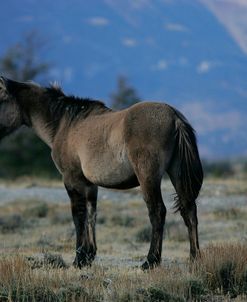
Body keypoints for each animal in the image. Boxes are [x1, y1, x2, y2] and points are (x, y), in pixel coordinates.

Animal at [0, 76, 203, 270]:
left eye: (1, 99)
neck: (65, 124)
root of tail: (174, 117)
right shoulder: (90, 185)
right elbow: (91, 215)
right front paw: (89, 256)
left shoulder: (71, 180)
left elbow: (78, 216)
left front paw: (79, 258)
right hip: (177, 174)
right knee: (189, 210)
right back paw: (194, 258)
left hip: (148, 178)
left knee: (157, 212)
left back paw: (151, 261)